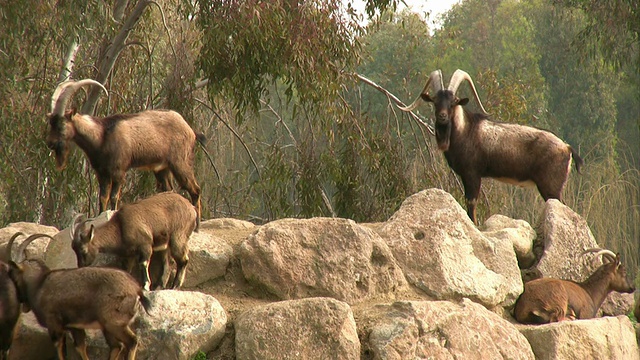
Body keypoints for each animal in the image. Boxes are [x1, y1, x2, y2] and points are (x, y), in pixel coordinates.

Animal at [8, 233, 151, 360]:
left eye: (13, 274)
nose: (20, 300)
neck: (39, 285)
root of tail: (136, 289)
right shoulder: (74, 327)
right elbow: (80, 348)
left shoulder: (54, 323)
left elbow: (59, 349)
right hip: (107, 327)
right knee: (117, 346)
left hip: (115, 324)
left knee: (131, 341)